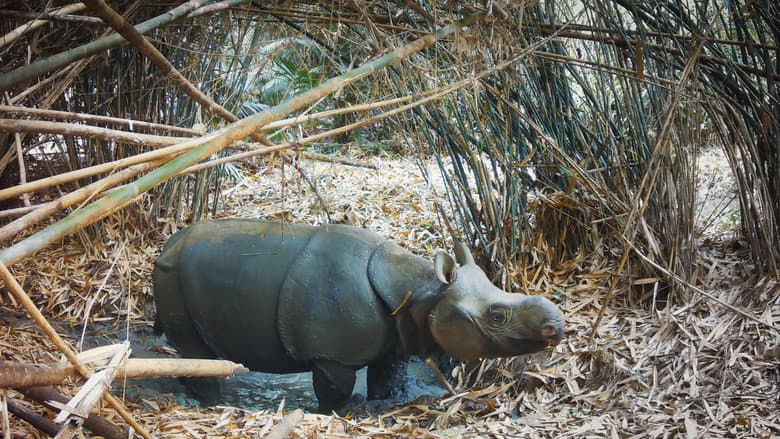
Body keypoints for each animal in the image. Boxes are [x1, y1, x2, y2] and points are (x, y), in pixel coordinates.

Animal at [152, 219, 564, 412]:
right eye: (496, 316)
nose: (556, 328)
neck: (422, 288)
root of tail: (165, 246)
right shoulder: (332, 355)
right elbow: (334, 391)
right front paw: (336, 413)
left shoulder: (395, 336)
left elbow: (386, 378)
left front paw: (382, 403)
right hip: (171, 275)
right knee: (197, 353)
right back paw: (214, 404)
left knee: (195, 353)